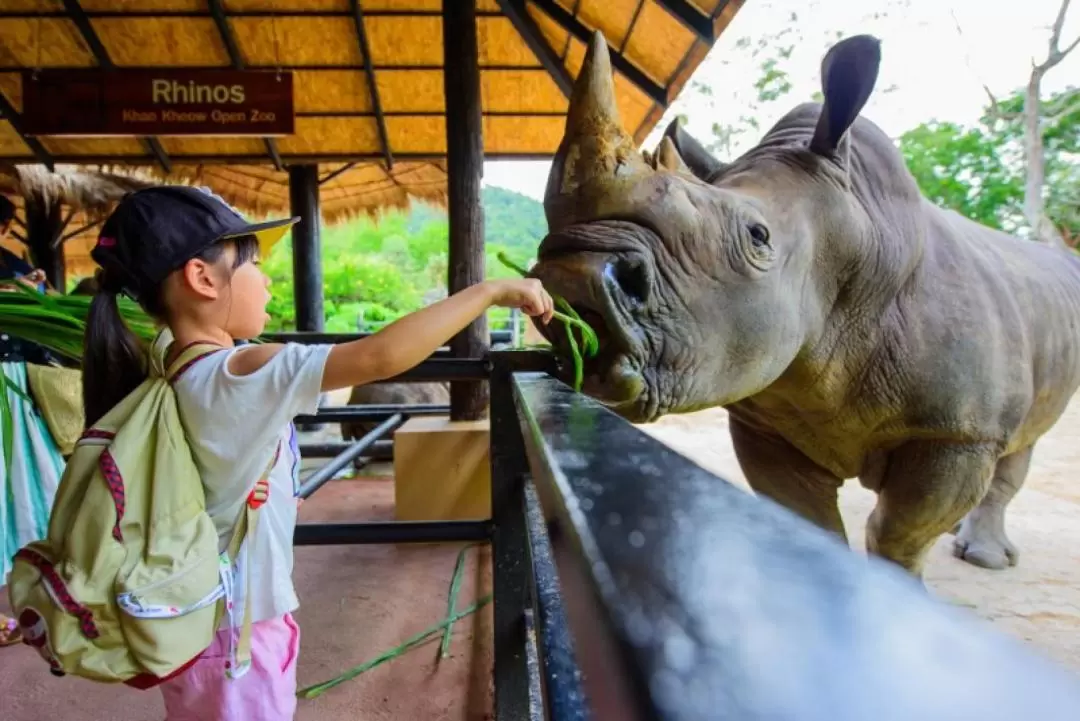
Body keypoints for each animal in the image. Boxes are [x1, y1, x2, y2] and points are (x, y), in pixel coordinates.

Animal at [527, 32, 1080, 578]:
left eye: (757, 236)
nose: (572, 274)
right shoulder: (764, 420)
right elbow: (810, 519)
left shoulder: (957, 431)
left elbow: (899, 536)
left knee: (1024, 438)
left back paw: (986, 558)